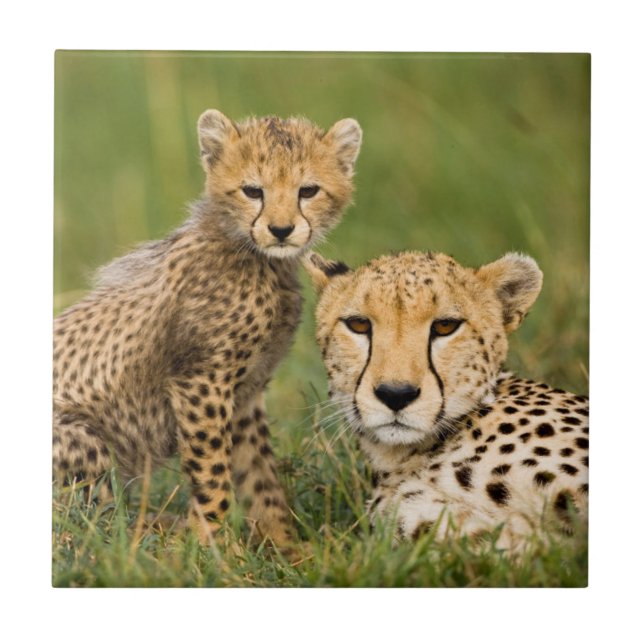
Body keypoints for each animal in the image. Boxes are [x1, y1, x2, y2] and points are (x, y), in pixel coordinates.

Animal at [53, 109, 362, 548]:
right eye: (252, 191)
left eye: (308, 190)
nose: (281, 230)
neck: (256, 258)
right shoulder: (201, 382)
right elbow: (212, 471)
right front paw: (215, 548)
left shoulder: (246, 393)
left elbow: (260, 476)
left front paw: (283, 544)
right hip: (82, 436)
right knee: (89, 527)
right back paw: (158, 533)